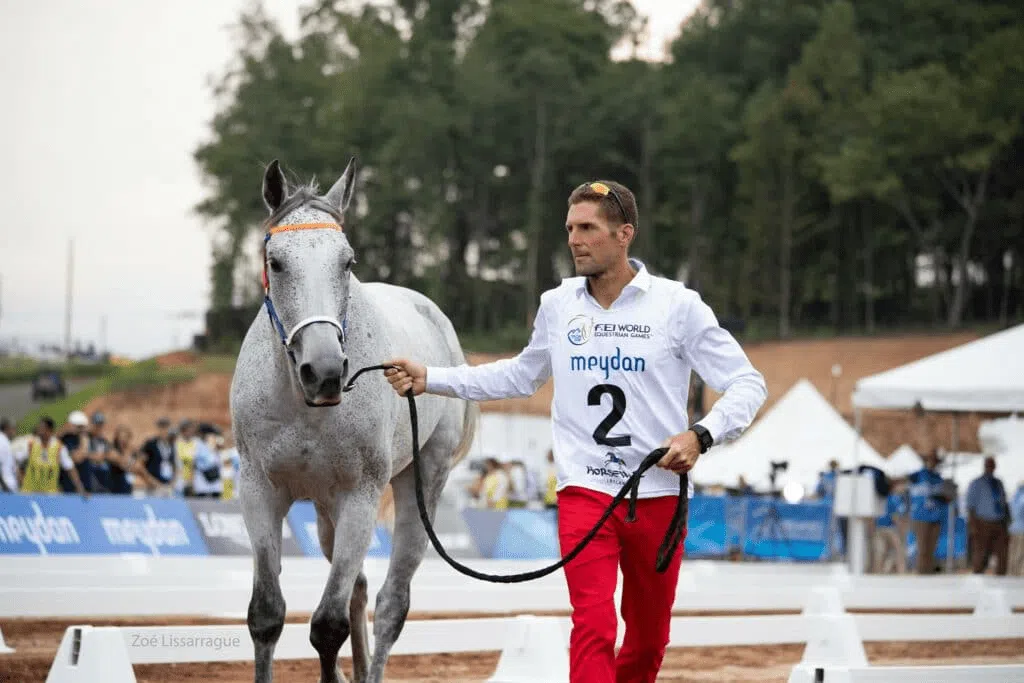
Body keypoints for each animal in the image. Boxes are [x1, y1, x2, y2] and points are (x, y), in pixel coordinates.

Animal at [230, 158, 479, 683]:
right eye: (276, 262)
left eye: (348, 261)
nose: (324, 371)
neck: (303, 405)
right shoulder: (259, 491)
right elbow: (266, 614)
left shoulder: (359, 499)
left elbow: (327, 626)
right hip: (325, 510)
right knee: (360, 589)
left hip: (420, 485)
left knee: (390, 603)